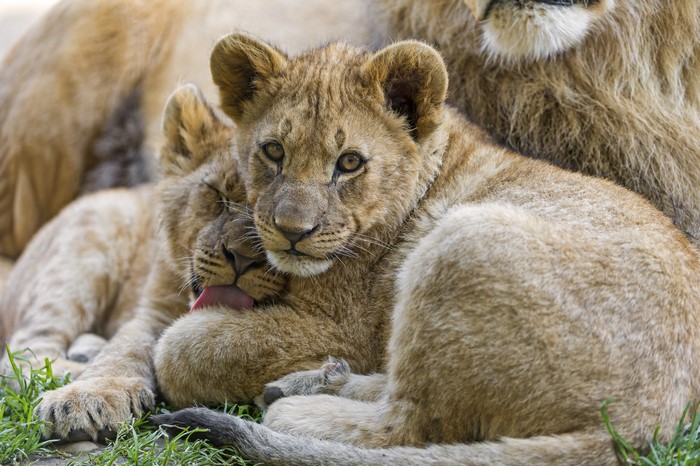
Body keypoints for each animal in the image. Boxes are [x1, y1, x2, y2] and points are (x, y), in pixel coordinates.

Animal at [152, 35, 700, 465]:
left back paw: (295, 406)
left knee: (413, 426)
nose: (291, 232)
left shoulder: (343, 330)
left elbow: (179, 349)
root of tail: (647, 418)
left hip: (461, 241)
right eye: (273, 151)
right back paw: (314, 382)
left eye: (349, 162)